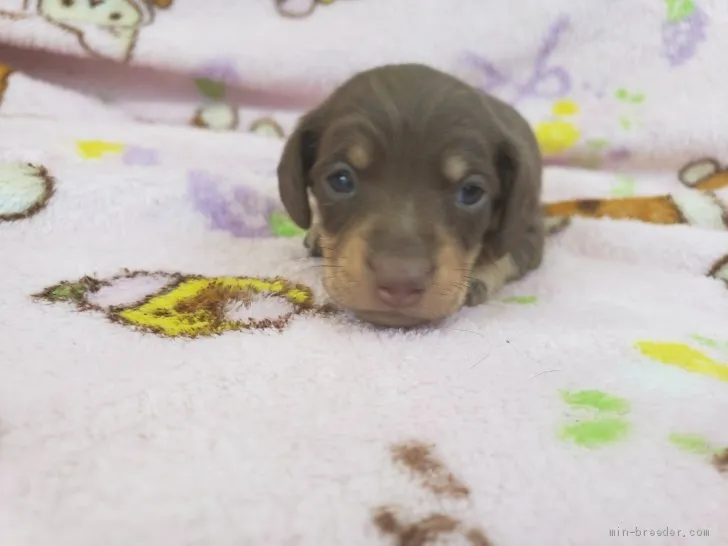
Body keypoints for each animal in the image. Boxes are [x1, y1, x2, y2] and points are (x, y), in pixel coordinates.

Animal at [278, 63, 544, 328]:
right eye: (341, 180)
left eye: (471, 192)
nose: (400, 284)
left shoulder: (529, 230)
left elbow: (505, 253)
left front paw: (477, 275)